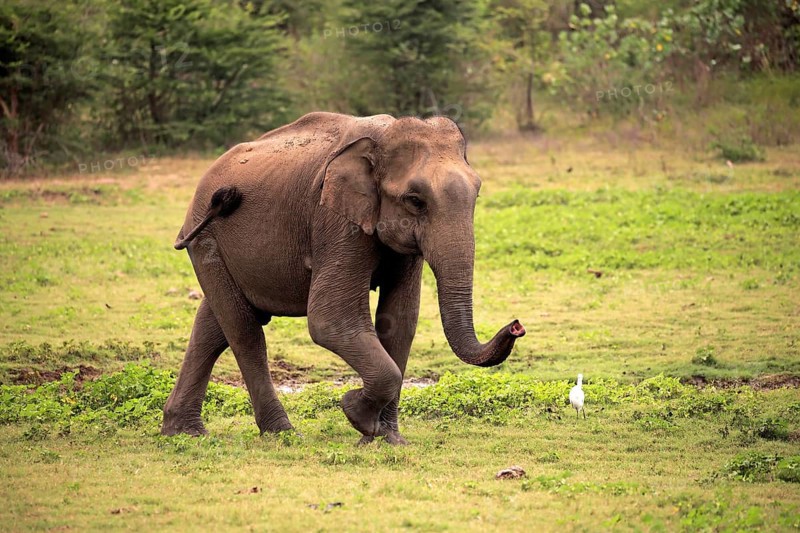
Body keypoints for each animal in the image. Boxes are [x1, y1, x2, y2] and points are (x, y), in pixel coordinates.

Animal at [161, 112, 526, 444]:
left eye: (477, 194)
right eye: (415, 200)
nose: (516, 326)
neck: (381, 139)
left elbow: (399, 322)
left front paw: (387, 439)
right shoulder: (335, 221)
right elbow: (331, 319)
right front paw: (355, 414)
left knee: (214, 325)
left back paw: (183, 432)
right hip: (206, 237)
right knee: (243, 330)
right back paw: (283, 434)